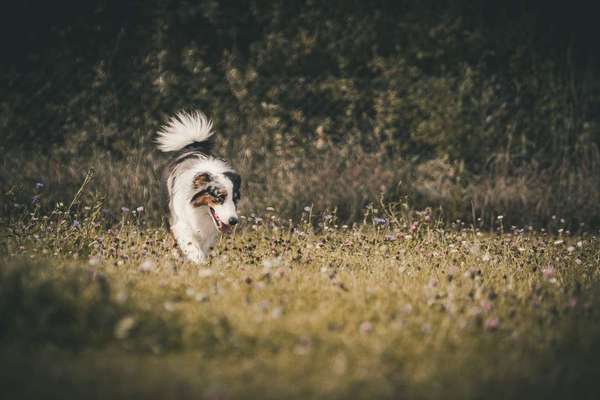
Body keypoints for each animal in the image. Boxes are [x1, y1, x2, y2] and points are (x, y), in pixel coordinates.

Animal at [157, 111, 241, 264]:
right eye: (220, 197)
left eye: (235, 199)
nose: (233, 221)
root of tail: (193, 145)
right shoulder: (180, 223)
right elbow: (191, 246)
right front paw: (199, 262)